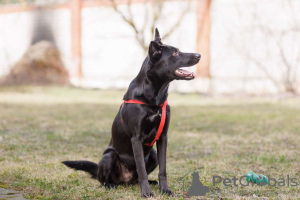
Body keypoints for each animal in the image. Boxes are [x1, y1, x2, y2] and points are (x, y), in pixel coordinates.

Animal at [62, 28, 200, 198]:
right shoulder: (136, 138)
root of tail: (124, 180)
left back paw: (151, 183)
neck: (154, 97)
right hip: (108, 156)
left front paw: (165, 190)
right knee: (104, 179)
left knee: (137, 177)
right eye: (175, 53)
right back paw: (110, 185)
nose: (199, 55)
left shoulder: (163, 137)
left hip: (153, 155)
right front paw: (146, 193)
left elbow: (163, 169)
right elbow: (141, 170)